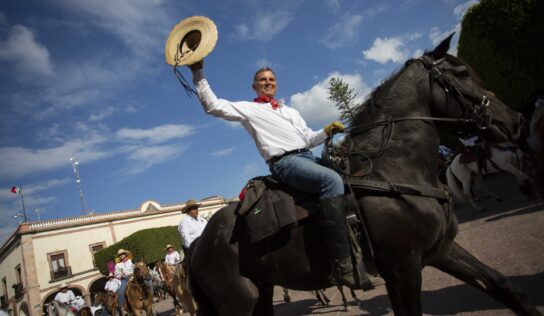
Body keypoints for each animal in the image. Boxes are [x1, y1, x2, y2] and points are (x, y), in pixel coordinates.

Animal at [186, 35, 540, 316]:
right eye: (463, 73)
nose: (516, 120)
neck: (394, 171)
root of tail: (201, 243)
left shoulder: (439, 250)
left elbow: (503, 285)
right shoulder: (403, 268)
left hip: (261, 294)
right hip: (238, 303)